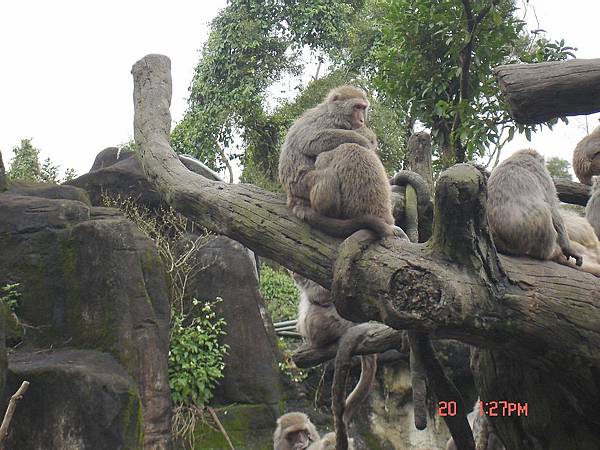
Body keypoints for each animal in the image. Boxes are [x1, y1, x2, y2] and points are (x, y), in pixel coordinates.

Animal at [278, 85, 404, 239]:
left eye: (363, 108)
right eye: (356, 107)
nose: (362, 120)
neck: (334, 114)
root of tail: (292, 196)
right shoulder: (326, 120)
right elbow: (309, 141)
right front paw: (363, 139)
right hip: (302, 187)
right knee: (332, 169)